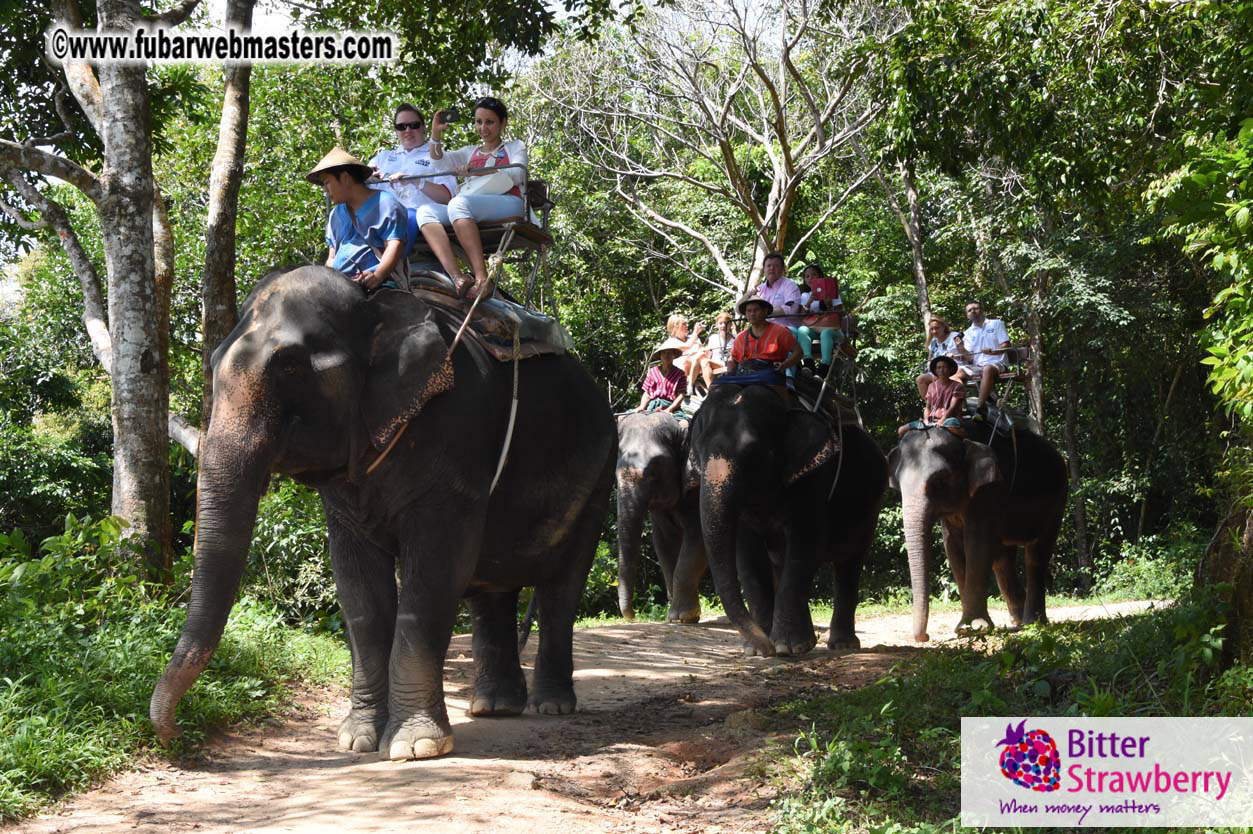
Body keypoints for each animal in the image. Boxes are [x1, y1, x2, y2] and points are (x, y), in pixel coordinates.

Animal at [149, 266, 615, 760]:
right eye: (214, 362)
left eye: (290, 366)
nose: (177, 737)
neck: (377, 310)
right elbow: (358, 587)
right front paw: (358, 740)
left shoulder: (457, 438)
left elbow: (436, 570)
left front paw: (416, 747)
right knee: (492, 584)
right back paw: (493, 706)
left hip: (602, 471)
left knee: (561, 587)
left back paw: (552, 706)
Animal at [614, 411, 707, 623]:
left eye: (654, 472)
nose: (632, 616)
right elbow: (664, 544)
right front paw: (675, 618)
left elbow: (697, 540)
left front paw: (683, 617)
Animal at [687, 384, 887, 657]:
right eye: (697, 452)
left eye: (753, 453)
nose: (766, 647)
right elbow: (748, 556)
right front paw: (758, 650)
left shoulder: (814, 478)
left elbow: (806, 543)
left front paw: (783, 647)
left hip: (870, 508)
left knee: (849, 563)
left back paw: (841, 645)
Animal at [887, 421, 1068, 642]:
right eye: (898, 485)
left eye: (940, 481)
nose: (925, 637)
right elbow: (953, 546)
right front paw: (965, 628)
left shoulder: (989, 489)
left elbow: (977, 541)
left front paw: (974, 628)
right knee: (1003, 558)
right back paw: (1017, 621)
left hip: (1059, 499)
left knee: (1036, 554)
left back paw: (1033, 623)